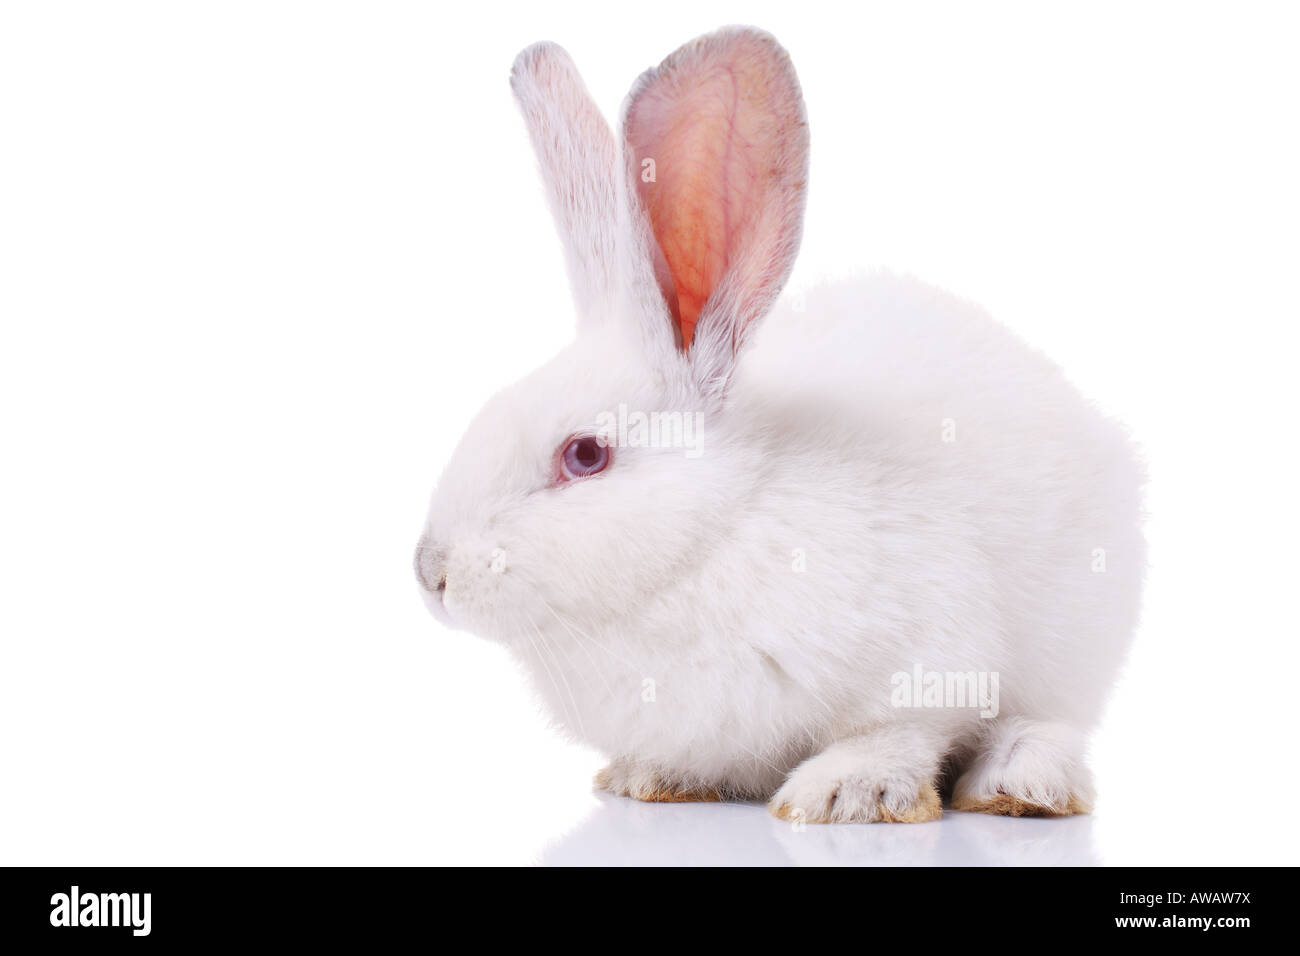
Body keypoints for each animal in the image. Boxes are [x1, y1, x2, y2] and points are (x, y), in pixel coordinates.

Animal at [414, 26, 1144, 823]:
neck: (710, 540)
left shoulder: (935, 654)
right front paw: (650, 779)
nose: (430, 572)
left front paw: (847, 793)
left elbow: (901, 730)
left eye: (584, 455)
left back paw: (1021, 783)